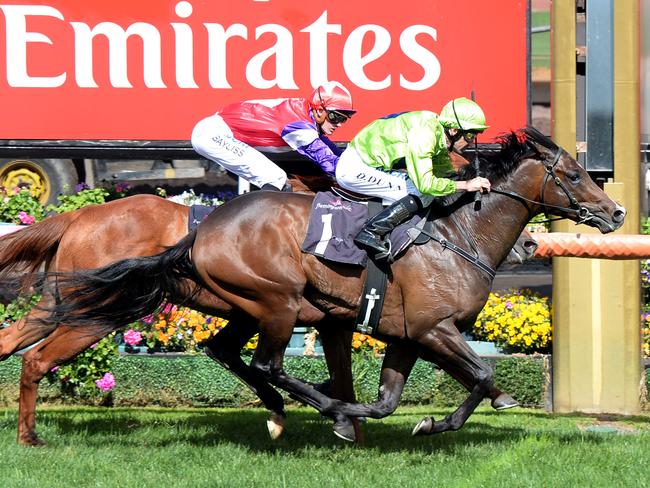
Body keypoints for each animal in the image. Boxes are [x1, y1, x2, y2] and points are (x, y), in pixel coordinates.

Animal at [24, 127, 624, 440]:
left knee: (228, 353)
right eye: (574, 175)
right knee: (267, 363)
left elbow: (386, 400)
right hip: (273, 301)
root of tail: (201, 233)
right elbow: (481, 376)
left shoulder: (405, 335)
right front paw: (433, 419)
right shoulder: (434, 330)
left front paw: (394, 420)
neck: (457, 235)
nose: (616, 213)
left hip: (249, 307)